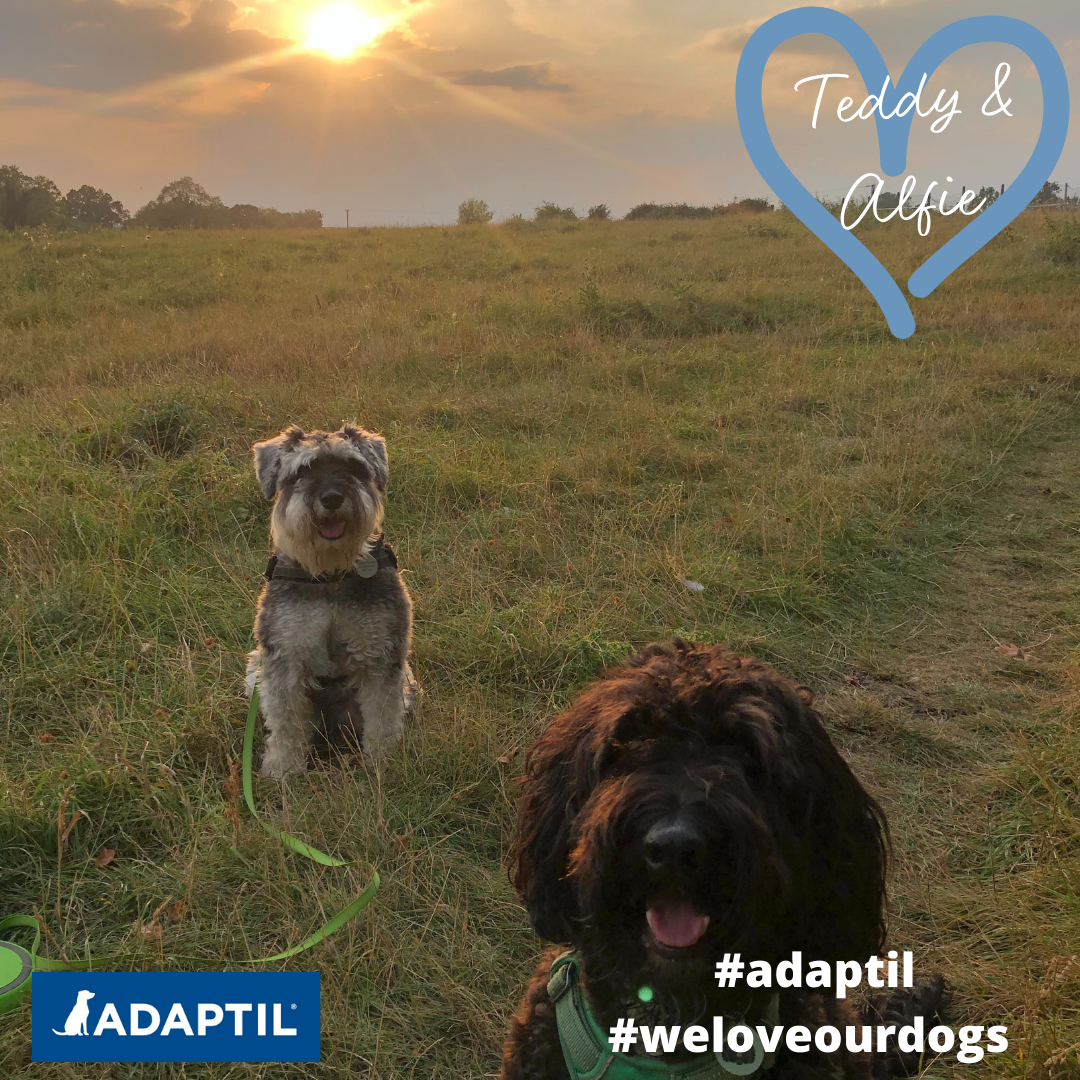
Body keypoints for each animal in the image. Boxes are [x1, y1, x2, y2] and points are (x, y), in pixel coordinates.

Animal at [246, 421, 416, 777]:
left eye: (352, 466)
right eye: (302, 471)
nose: (332, 497)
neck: (330, 575)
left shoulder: (380, 656)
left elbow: (382, 715)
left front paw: (383, 762)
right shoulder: (285, 658)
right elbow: (286, 721)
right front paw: (283, 768)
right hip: (255, 667)